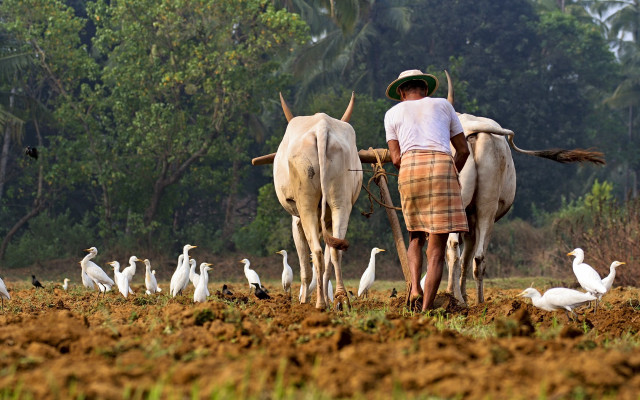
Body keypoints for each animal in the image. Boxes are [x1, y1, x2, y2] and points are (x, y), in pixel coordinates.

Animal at [273, 93, 362, 309]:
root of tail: (322, 127)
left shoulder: (296, 221)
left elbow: (305, 265)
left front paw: (303, 299)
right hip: (341, 203)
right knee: (335, 251)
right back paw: (340, 298)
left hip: (306, 205)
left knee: (317, 251)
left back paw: (320, 303)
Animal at [443, 72, 605, 305]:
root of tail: (471, 130)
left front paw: (463, 295)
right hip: (483, 208)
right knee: (473, 255)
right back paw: (467, 300)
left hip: (475, 209)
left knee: (458, 250)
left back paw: (461, 298)